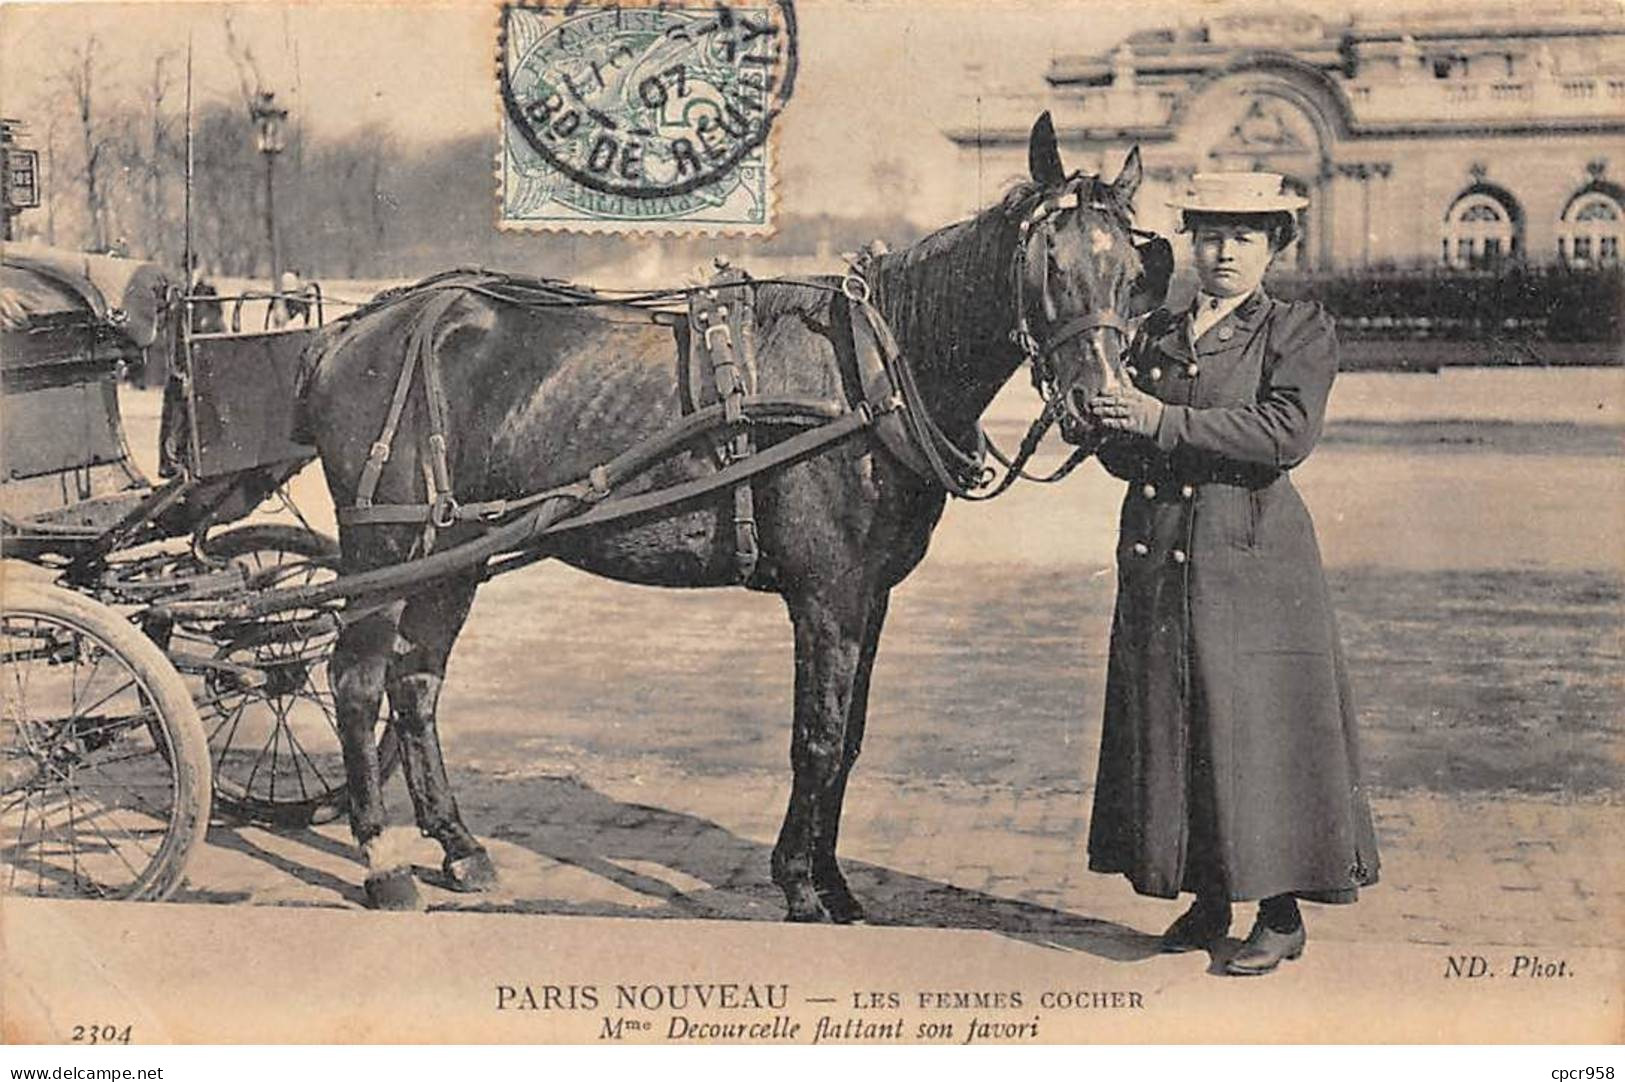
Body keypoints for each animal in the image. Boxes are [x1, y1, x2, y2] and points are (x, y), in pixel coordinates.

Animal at [295, 111, 1170, 916]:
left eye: (1132, 271)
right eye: (1047, 263)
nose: (1099, 405)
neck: (866, 375)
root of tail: (352, 329)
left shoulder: (869, 595)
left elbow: (849, 739)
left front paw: (830, 879)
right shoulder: (825, 595)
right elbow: (817, 738)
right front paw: (803, 886)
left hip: (457, 552)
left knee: (416, 686)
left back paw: (459, 846)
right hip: (387, 550)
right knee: (356, 684)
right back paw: (382, 862)